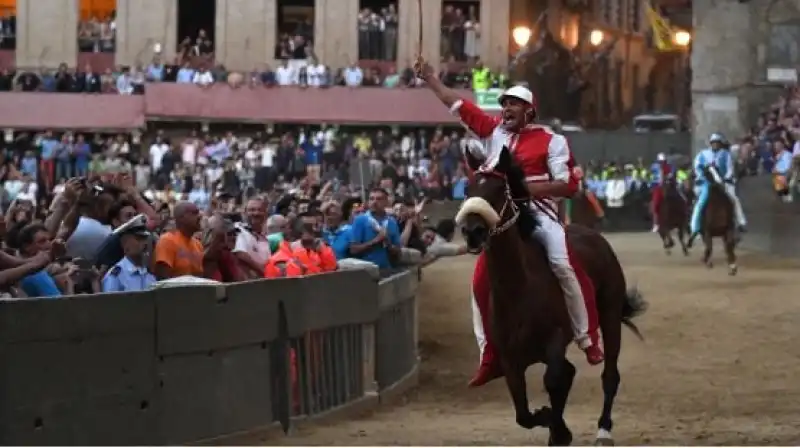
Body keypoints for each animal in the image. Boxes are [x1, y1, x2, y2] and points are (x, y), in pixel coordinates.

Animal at [456, 149, 644, 446]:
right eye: (468, 189)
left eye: (499, 189)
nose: (472, 231)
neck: (517, 289)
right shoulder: (510, 359)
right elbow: (523, 412)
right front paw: (554, 427)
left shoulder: (554, 340)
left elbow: (554, 381)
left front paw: (559, 429)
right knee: (569, 373)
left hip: (610, 314)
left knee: (608, 375)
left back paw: (604, 429)